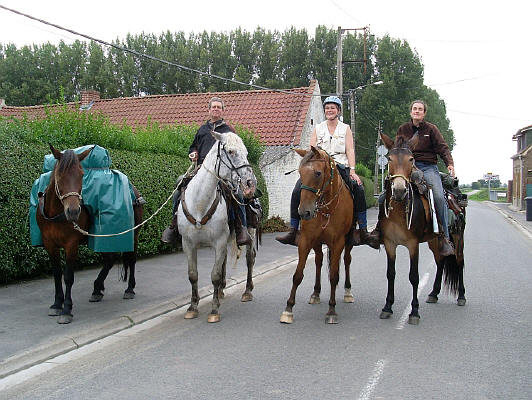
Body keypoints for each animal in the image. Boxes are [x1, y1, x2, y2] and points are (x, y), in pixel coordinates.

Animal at [35, 145, 144, 324]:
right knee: (109, 259)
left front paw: (66, 309)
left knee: (131, 258)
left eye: (81, 174)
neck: (57, 214)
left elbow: (68, 276)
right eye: (60, 175)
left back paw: (129, 289)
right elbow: (57, 273)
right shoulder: (49, 244)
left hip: (133, 233)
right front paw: (56, 304)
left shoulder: (71, 244)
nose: (73, 211)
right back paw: (97, 289)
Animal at [178, 130, 258, 324]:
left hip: (250, 233)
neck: (200, 204)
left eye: (246, 153)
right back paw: (221, 291)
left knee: (249, 259)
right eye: (230, 151)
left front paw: (214, 310)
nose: (251, 183)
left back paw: (247, 291)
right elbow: (193, 275)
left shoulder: (219, 242)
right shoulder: (188, 244)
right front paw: (192, 307)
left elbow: (214, 275)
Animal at [280, 147, 356, 324]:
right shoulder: (306, 240)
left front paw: (332, 310)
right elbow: (297, 275)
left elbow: (334, 276)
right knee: (319, 261)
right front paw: (288, 309)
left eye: (318, 173)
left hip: (348, 242)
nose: (304, 212)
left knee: (347, 260)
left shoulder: (338, 242)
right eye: (300, 172)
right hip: (317, 242)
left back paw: (348, 292)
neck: (327, 208)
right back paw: (315, 293)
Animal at [378, 134, 462, 324]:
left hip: (458, 239)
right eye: (389, 158)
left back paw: (462, 296)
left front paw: (414, 311)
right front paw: (387, 307)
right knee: (440, 261)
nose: (399, 190)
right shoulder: (389, 244)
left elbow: (414, 277)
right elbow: (390, 273)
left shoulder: (413, 244)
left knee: (460, 263)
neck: (399, 211)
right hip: (434, 241)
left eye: (411, 159)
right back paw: (434, 293)